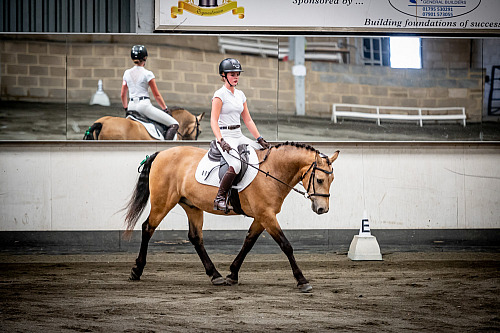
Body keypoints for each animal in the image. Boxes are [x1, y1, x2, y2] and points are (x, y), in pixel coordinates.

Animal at [124, 141, 340, 292]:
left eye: (332, 180)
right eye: (320, 180)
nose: (323, 209)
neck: (271, 172)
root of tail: (161, 153)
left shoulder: (261, 217)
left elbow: (248, 242)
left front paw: (232, 274)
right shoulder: (266, 215)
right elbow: (286, 245)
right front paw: (302, 280)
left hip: (192, 206)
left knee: (195, 237)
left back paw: (215, 275)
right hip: (162, 202)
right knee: (148, 228)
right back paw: (136, 270)